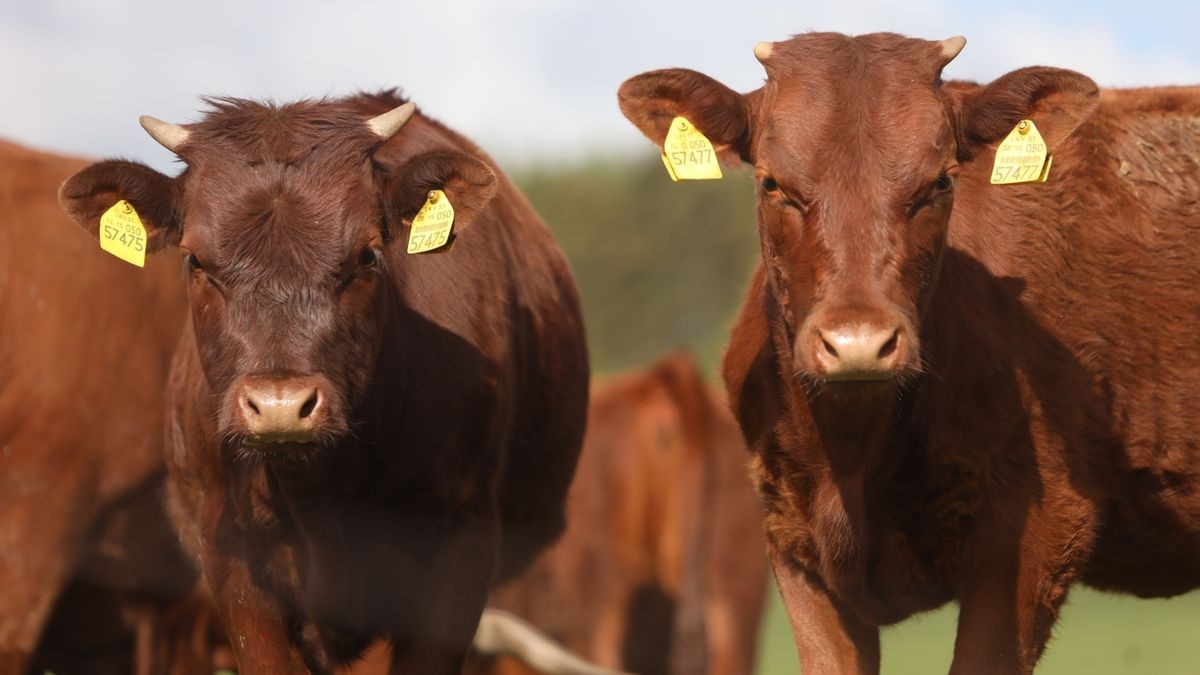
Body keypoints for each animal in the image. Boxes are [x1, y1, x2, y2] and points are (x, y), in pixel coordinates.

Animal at [619, 28, 1200, 667]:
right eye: (772, 183)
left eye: (940, 181)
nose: (857, 343)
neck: (852, 462)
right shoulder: (791, 542)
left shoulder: (1040, 531)